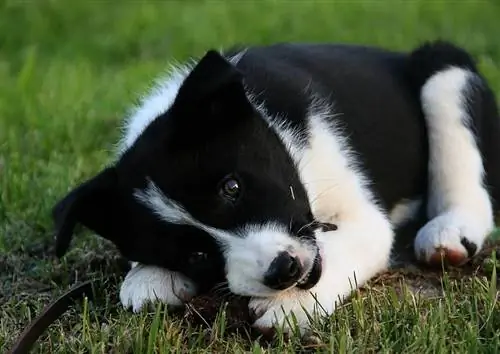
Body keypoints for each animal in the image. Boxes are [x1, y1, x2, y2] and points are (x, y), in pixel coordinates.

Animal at [52, 40, 500, 334]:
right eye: (195, 255)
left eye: (232, 186)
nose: (284, 270)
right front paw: (148, 275)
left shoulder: (360, 217)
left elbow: (348, 245)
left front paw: (291, 304)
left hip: (446, 72)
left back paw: (450, 231)